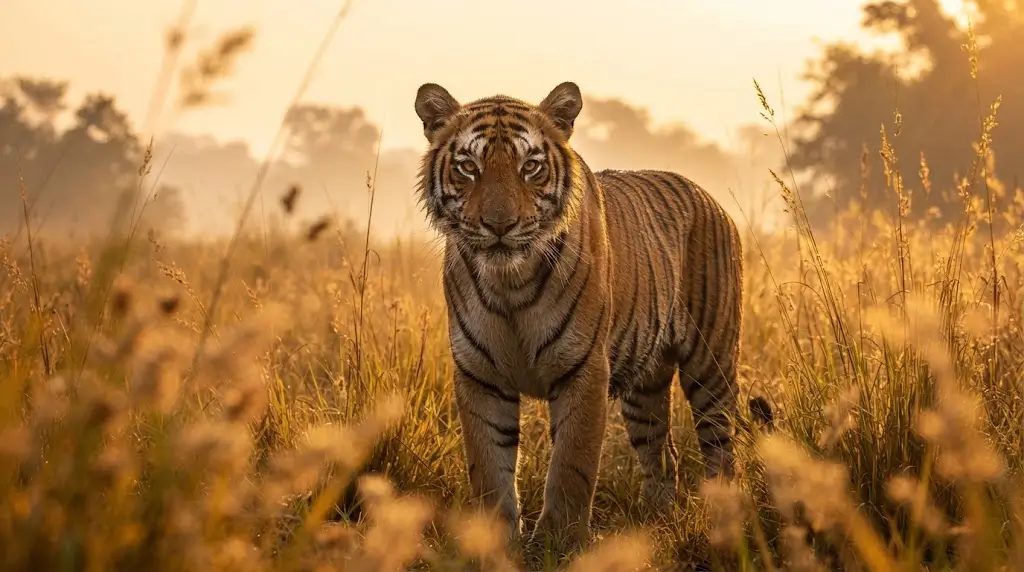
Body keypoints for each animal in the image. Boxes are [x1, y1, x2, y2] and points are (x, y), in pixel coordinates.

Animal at [414, 81, 767, 550]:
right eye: (469, 167)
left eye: (530, 166)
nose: (499, 225)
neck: (509, 283)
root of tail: (707, 194)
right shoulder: (480, 375)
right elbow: (488, 467)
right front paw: (493, 542)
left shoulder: (583, 368)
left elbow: (571, 465)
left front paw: (558, 542)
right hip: (645, 384)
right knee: (662, 452)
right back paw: (657, 518)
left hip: (712, 362)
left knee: (721, 443)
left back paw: (723, 517)